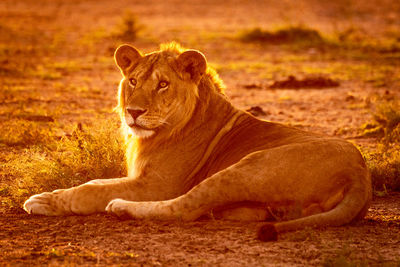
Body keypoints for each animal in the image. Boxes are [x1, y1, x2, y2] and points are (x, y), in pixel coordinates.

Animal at [22, 42, 372, 243]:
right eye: (132, 80)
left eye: (162, 84)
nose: (133, 112)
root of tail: (360, 174)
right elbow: (96, 182)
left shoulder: (157, 186)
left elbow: (90, 190)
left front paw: (43, 201)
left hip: (249, 166)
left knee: (185, 208)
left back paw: (121, 208)